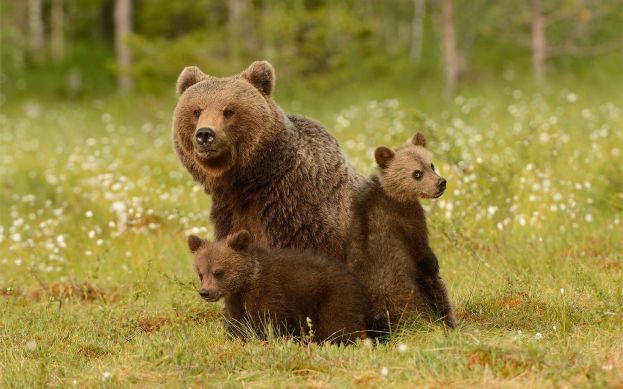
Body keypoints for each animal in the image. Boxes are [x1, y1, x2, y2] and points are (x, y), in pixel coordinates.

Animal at [188, 229, 368, 344]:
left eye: (219, 272)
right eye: (201, 273)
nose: (205, 292)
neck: (246, 281)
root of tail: (352, 276)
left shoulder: (267, 289)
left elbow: (270, 319)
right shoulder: (236, 299)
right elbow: (237, 323)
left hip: (333, 294)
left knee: (337, 323)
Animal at [344, 132, 456, 332]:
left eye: (431, 165)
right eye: (417, 173)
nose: (441, 183)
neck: (393, 195)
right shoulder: (409, 220)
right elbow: (423, 252)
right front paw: (434, 263)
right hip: (405, 295)